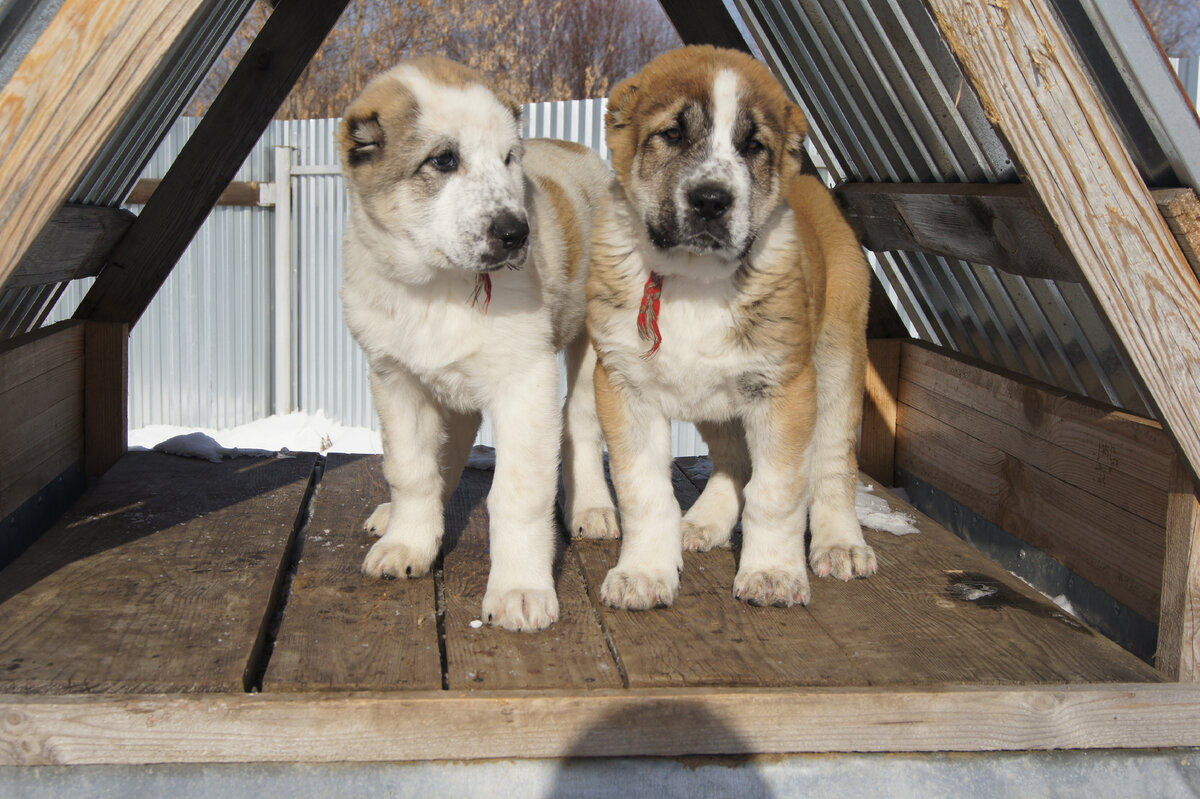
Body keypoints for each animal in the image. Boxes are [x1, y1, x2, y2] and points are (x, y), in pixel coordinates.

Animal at [340, 57, 614, 628]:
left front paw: (520, 589)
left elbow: (517, 493)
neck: (437, 285)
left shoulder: (525, 382)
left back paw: (592, 508)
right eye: (444, 160)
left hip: (591, 342)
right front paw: (409, 541)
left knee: (579, 422)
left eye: (509, 159)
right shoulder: (395, 379)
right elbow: (411, 469)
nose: (516, 233)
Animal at [588, 46, 878, 607]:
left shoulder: (785, 388)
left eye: (753, 146)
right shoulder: (624, 387)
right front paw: (644, 572)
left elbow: (777, 491)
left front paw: (772, 573)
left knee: (834, 464)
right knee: (731, 459)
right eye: (673, 134)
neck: (695, 279)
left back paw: (840, 543)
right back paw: (704, 522)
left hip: (838, 360)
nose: (710, 200)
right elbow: (644, 491)